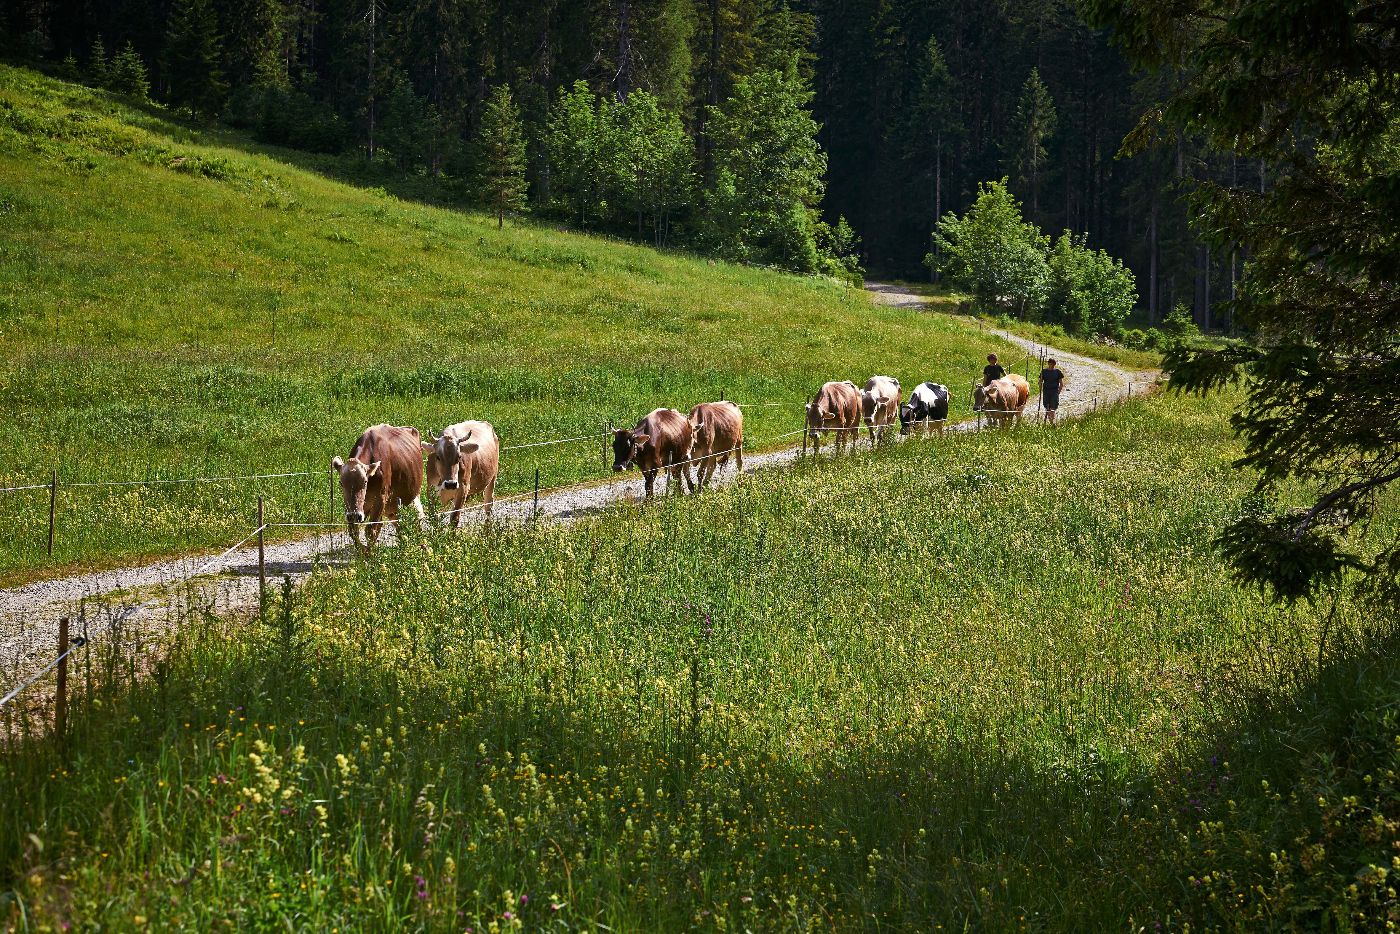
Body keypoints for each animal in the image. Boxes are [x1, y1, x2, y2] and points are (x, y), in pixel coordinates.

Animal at [331, 423, 425, 556]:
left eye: (365, 482)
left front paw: (370, 556)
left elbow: (371, 531)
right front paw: (363, 553)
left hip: (412, 497)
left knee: (417, 520)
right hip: (392, 507)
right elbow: (353, 531)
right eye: (341, 483)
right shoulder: (351, 507)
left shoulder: (380, 499)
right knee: (398, 524)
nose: (355, 515)